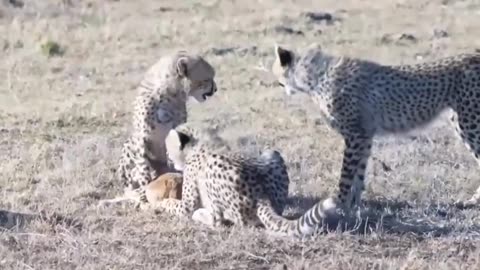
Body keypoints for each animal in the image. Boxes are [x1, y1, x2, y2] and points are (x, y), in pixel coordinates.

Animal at [101, 50, 218, 207]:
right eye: (207, 79)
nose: (215, 89)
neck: (169, 92)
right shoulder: (141, 137)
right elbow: (143, 168)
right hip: (130, 144)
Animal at [157, 125, 288, 228]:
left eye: (168, 148)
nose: (167, 156)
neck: (198, 143)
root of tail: (262, 197)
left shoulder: (187, 204)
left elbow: (178, 205)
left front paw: (163, 202)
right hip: (272, 153)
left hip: (212, 165)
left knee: (216, 220)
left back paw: (199, 214)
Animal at [270, 42, 480, 219]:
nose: (278, 84)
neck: (315, 76)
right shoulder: (364, 136)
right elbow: (359, 174)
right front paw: (353, 206)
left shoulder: (355, 135)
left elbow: (346, 175)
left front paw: (338, 205)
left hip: (468, 123)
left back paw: (474, 201)